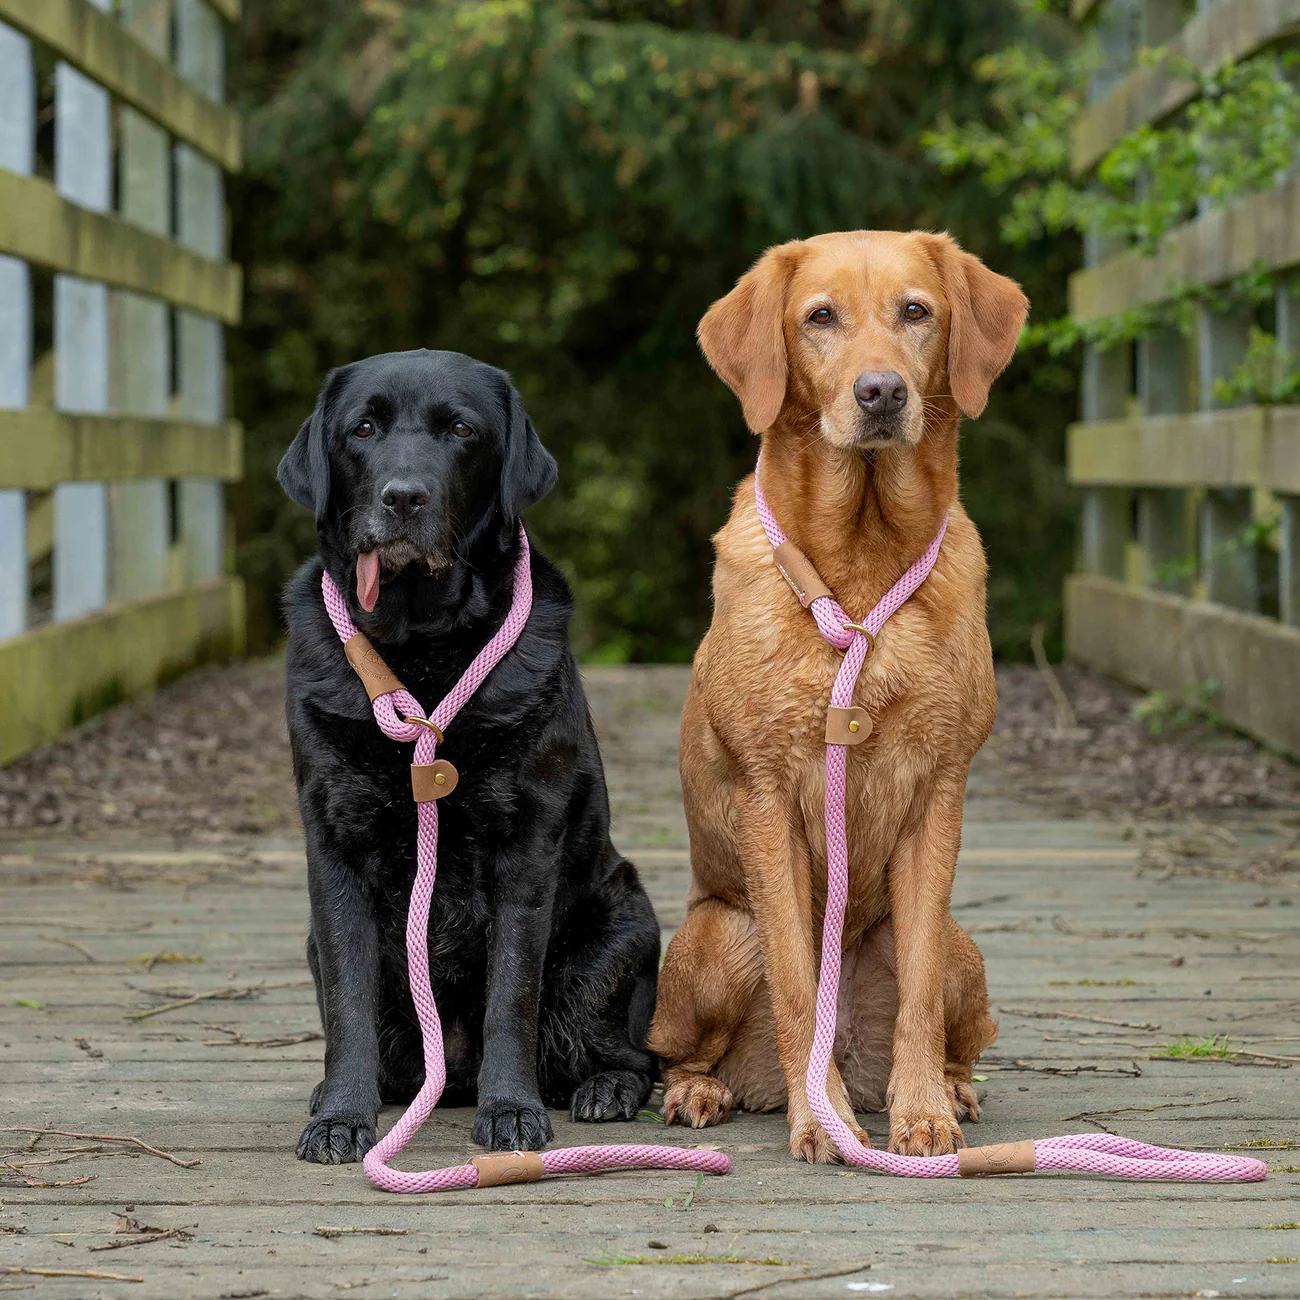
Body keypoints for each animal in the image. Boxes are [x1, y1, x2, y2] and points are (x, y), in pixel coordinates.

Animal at [275, 351, 660, 1164]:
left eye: (461, 430)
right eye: (362, 429)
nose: (403, 497)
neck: (423, 649)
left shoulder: (526, 842)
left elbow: (511, 992)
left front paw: (511, 1110)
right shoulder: (336, 843)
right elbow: (349, 1004)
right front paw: (340, 1117)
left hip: (617, 938)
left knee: (635, 1056)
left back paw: (606, 1089)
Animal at [647, 228, 1024, 1164]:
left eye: (916, 311)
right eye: (820, 317)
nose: (881, 390)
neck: (862, 559)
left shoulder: (938, 796)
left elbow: (918, 994)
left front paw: (920, 1111)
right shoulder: (768, 800)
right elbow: (792, 983)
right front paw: (821, 1121)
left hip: (963, 948)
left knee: (953, 1019)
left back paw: (950, 1089)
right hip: (718, 937)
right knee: (679, 1050)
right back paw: (704, 1091)